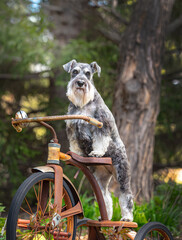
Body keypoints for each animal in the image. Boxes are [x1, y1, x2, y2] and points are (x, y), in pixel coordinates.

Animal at [63, 59, 133, 221]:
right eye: (74, 72)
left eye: (88, 73)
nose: (80, 83)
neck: (83, 104)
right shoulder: (72, 127)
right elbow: (74, 143)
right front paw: (77, 153)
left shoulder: (102, 125)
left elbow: (100, 140)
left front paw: (97, 152)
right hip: (100, 177)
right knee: (105, 197)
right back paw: (105, 217)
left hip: (122, 175)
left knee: (126, 196)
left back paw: (127, 218)